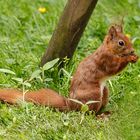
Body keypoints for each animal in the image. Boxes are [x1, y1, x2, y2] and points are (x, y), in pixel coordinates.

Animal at [0, 24, 138, 113]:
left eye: (128, 39)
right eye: (121, 43)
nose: (132, 50)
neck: (109, 49)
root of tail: (71, 105)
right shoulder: (105, 60)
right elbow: (114, 68)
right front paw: (130, 58)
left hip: (104, 92)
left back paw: (107, 111)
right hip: (93, 95)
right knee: (87, 112)